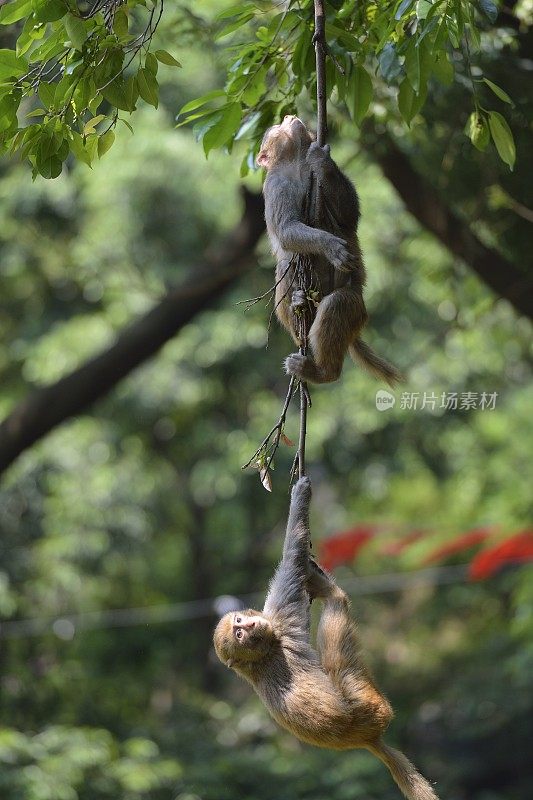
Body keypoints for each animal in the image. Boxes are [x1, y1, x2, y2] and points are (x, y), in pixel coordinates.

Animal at [214, 476, 438, 800]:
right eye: (240, 633)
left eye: (239, 624)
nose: (250, 624)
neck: (259, 658)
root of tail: (367, 739)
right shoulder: (284, 623)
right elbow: (291, 559)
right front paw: (300, 494)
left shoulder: (273, 623)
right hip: (368, 703)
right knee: (337, 629)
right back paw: (331, 593)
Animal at [256, 114, 402, 386]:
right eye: (277, 127)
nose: (288, 116)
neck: (297, 163)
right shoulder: (276, 184)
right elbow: (286, 228)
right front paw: (331, 246)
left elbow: (348, 216)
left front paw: (323, 161)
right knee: (286, 265)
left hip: (354, 302)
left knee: (338, 303)